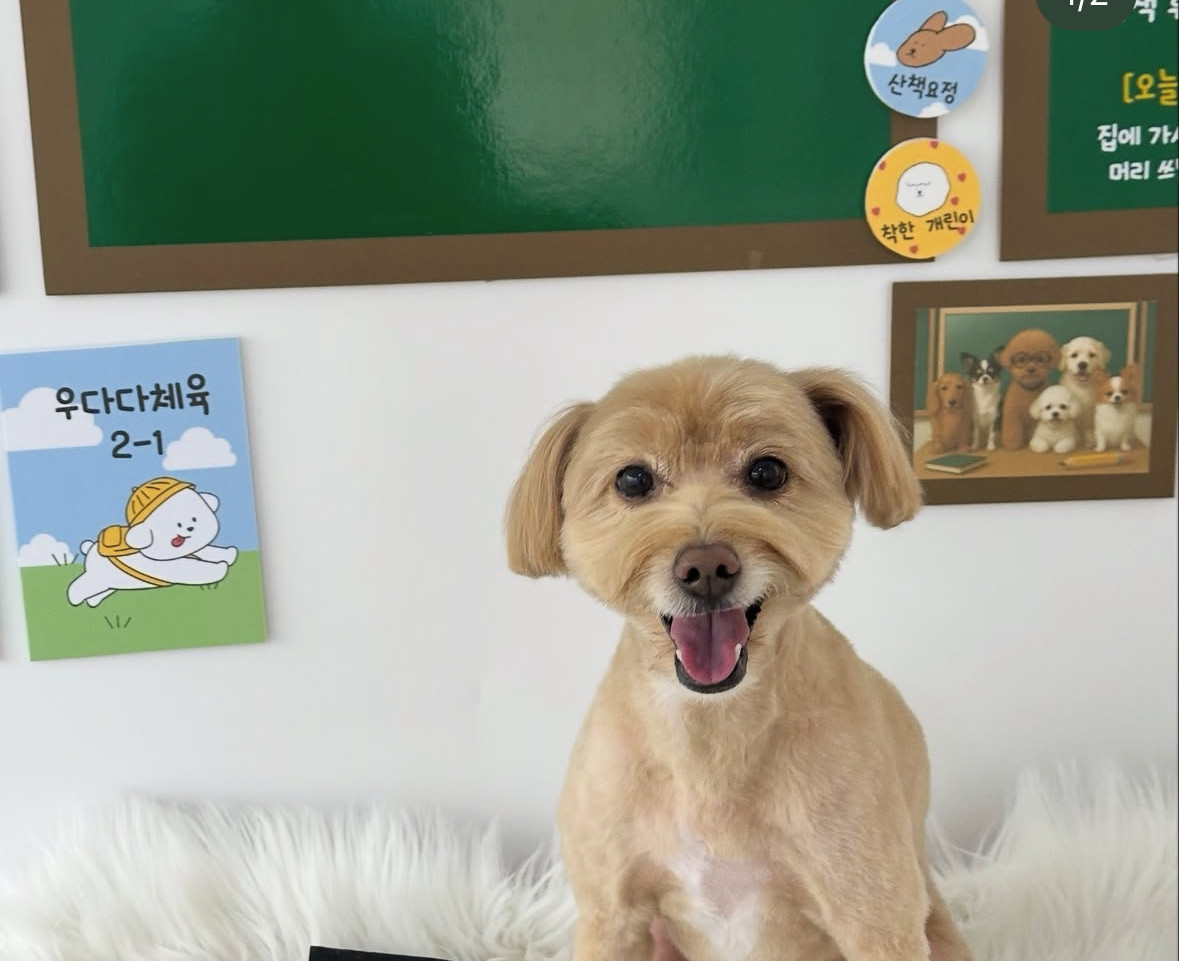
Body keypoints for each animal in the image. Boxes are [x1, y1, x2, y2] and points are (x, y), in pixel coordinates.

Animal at [67, 476, 239, 608]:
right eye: (177, 524)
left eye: (194, 518)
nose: (190, 528)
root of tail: (91, 548)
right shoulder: (165, 565)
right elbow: (191, 568)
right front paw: (221, 567)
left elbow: (204, 549)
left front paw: (229, 554)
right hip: (98, 577)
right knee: (83, 585)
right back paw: (74, 598)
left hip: (110, 581)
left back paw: (93, 602)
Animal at [506, 357, 973, 961]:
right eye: (633, 480)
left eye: (767, 472)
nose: (706, 566)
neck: (712, 733)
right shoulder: (611, 915)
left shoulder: (876, 918)